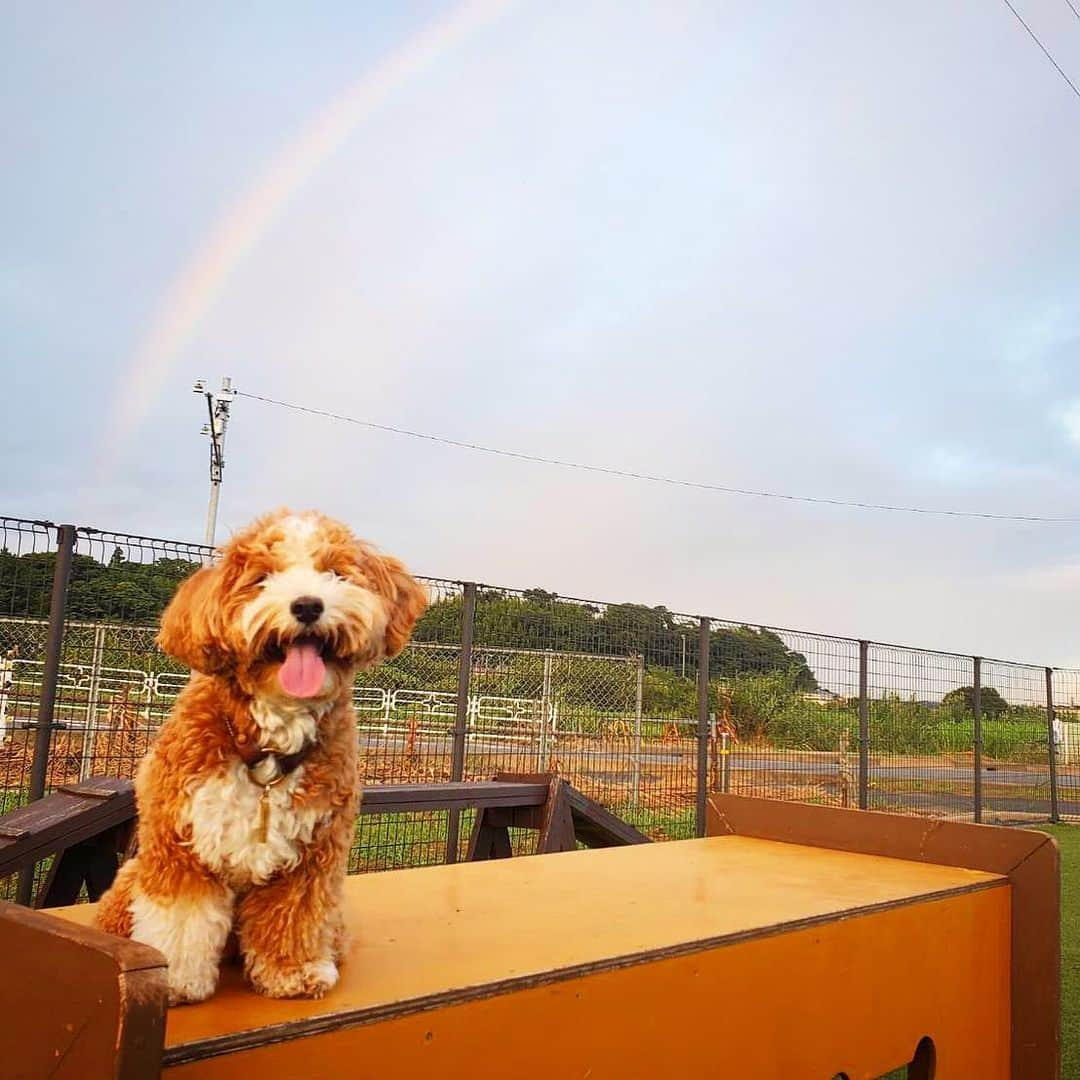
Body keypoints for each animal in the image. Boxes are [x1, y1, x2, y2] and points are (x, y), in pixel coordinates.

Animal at [95, 509, 425, 1006]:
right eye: (262, 578)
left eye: (335, 573)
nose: (307, 605)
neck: (270, 743)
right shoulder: (181, 843)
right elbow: (183, 920)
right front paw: (177, 982)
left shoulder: (313, 856)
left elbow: (293, 917)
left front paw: (294, 973)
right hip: (130, 882)